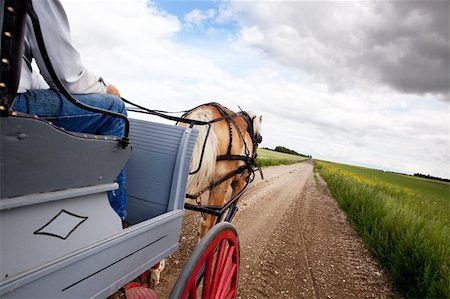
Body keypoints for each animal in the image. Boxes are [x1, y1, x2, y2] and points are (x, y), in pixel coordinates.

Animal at [178, 102, 264, 239]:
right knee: (207, 223)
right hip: (221, 182)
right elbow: (232, 208)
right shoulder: (240, 182)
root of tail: (204, 112)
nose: (260, 138)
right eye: (258, 131)